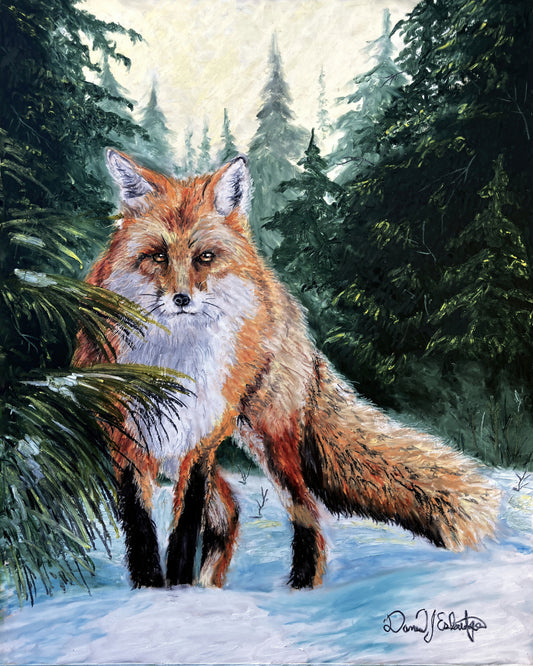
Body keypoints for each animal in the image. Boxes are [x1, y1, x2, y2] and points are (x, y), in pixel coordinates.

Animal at [73, 149, 500, 590]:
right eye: (158, 255)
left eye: (204, 257)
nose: (181, 299)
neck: (175, 360)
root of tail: (279, 292)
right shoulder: (127, 439)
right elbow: (140, 530)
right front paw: (153, 593)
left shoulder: (200, 440)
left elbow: (184, 532)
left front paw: (176, 593)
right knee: (230, 511)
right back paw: (212, 585)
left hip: (269, 438)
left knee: (305, 509)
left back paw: (301, 587)